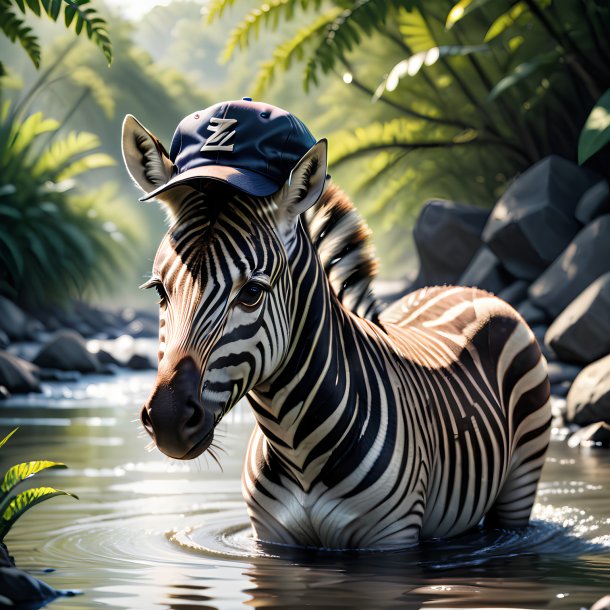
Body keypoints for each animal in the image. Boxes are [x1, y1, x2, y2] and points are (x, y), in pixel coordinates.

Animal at [121, 103, 548, 548]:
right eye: (160, 291)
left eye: (251, 293)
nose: (168, 420)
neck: (293, 443)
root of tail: (465, 288)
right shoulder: (271, 537)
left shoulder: (392, 539)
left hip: (521, 479)